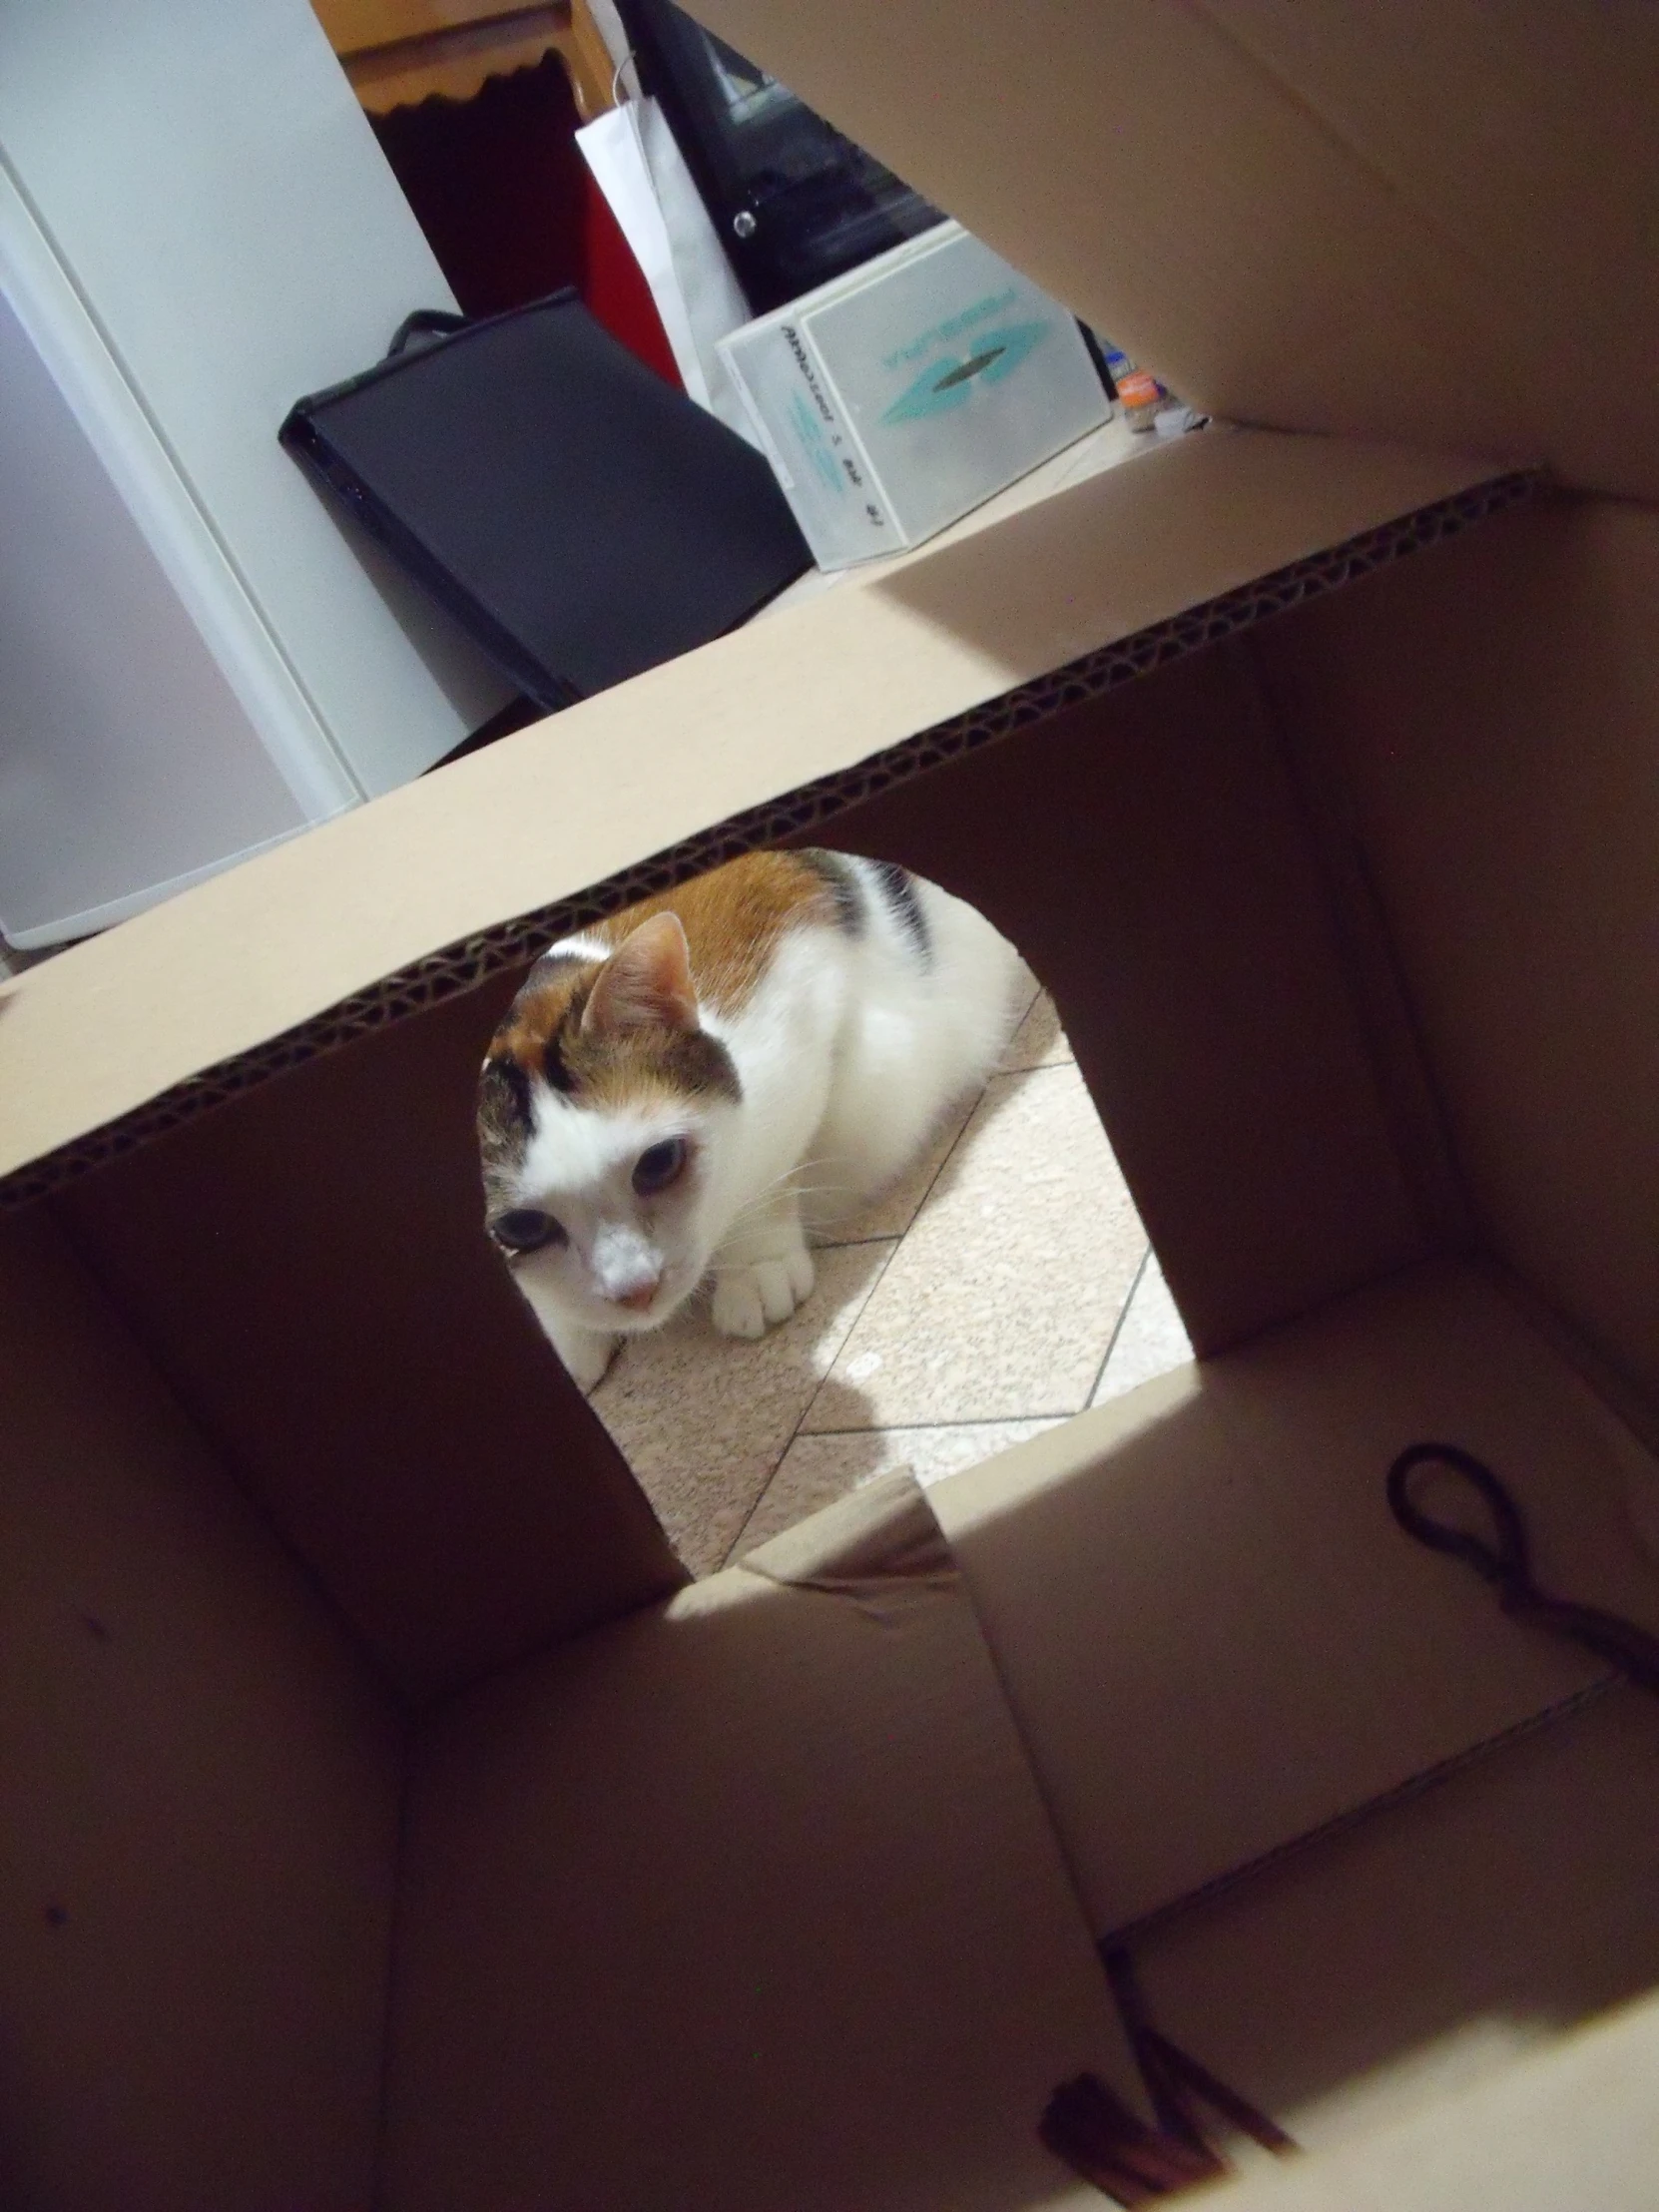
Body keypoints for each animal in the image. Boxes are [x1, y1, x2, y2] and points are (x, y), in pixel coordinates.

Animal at [477, 844, 1026, 1380]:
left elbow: (767, 1171)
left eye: (659, 1163)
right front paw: (567, 1339)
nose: (635, 1290)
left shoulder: (805, 1008)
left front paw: (755, 1265)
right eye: (521, 1229)